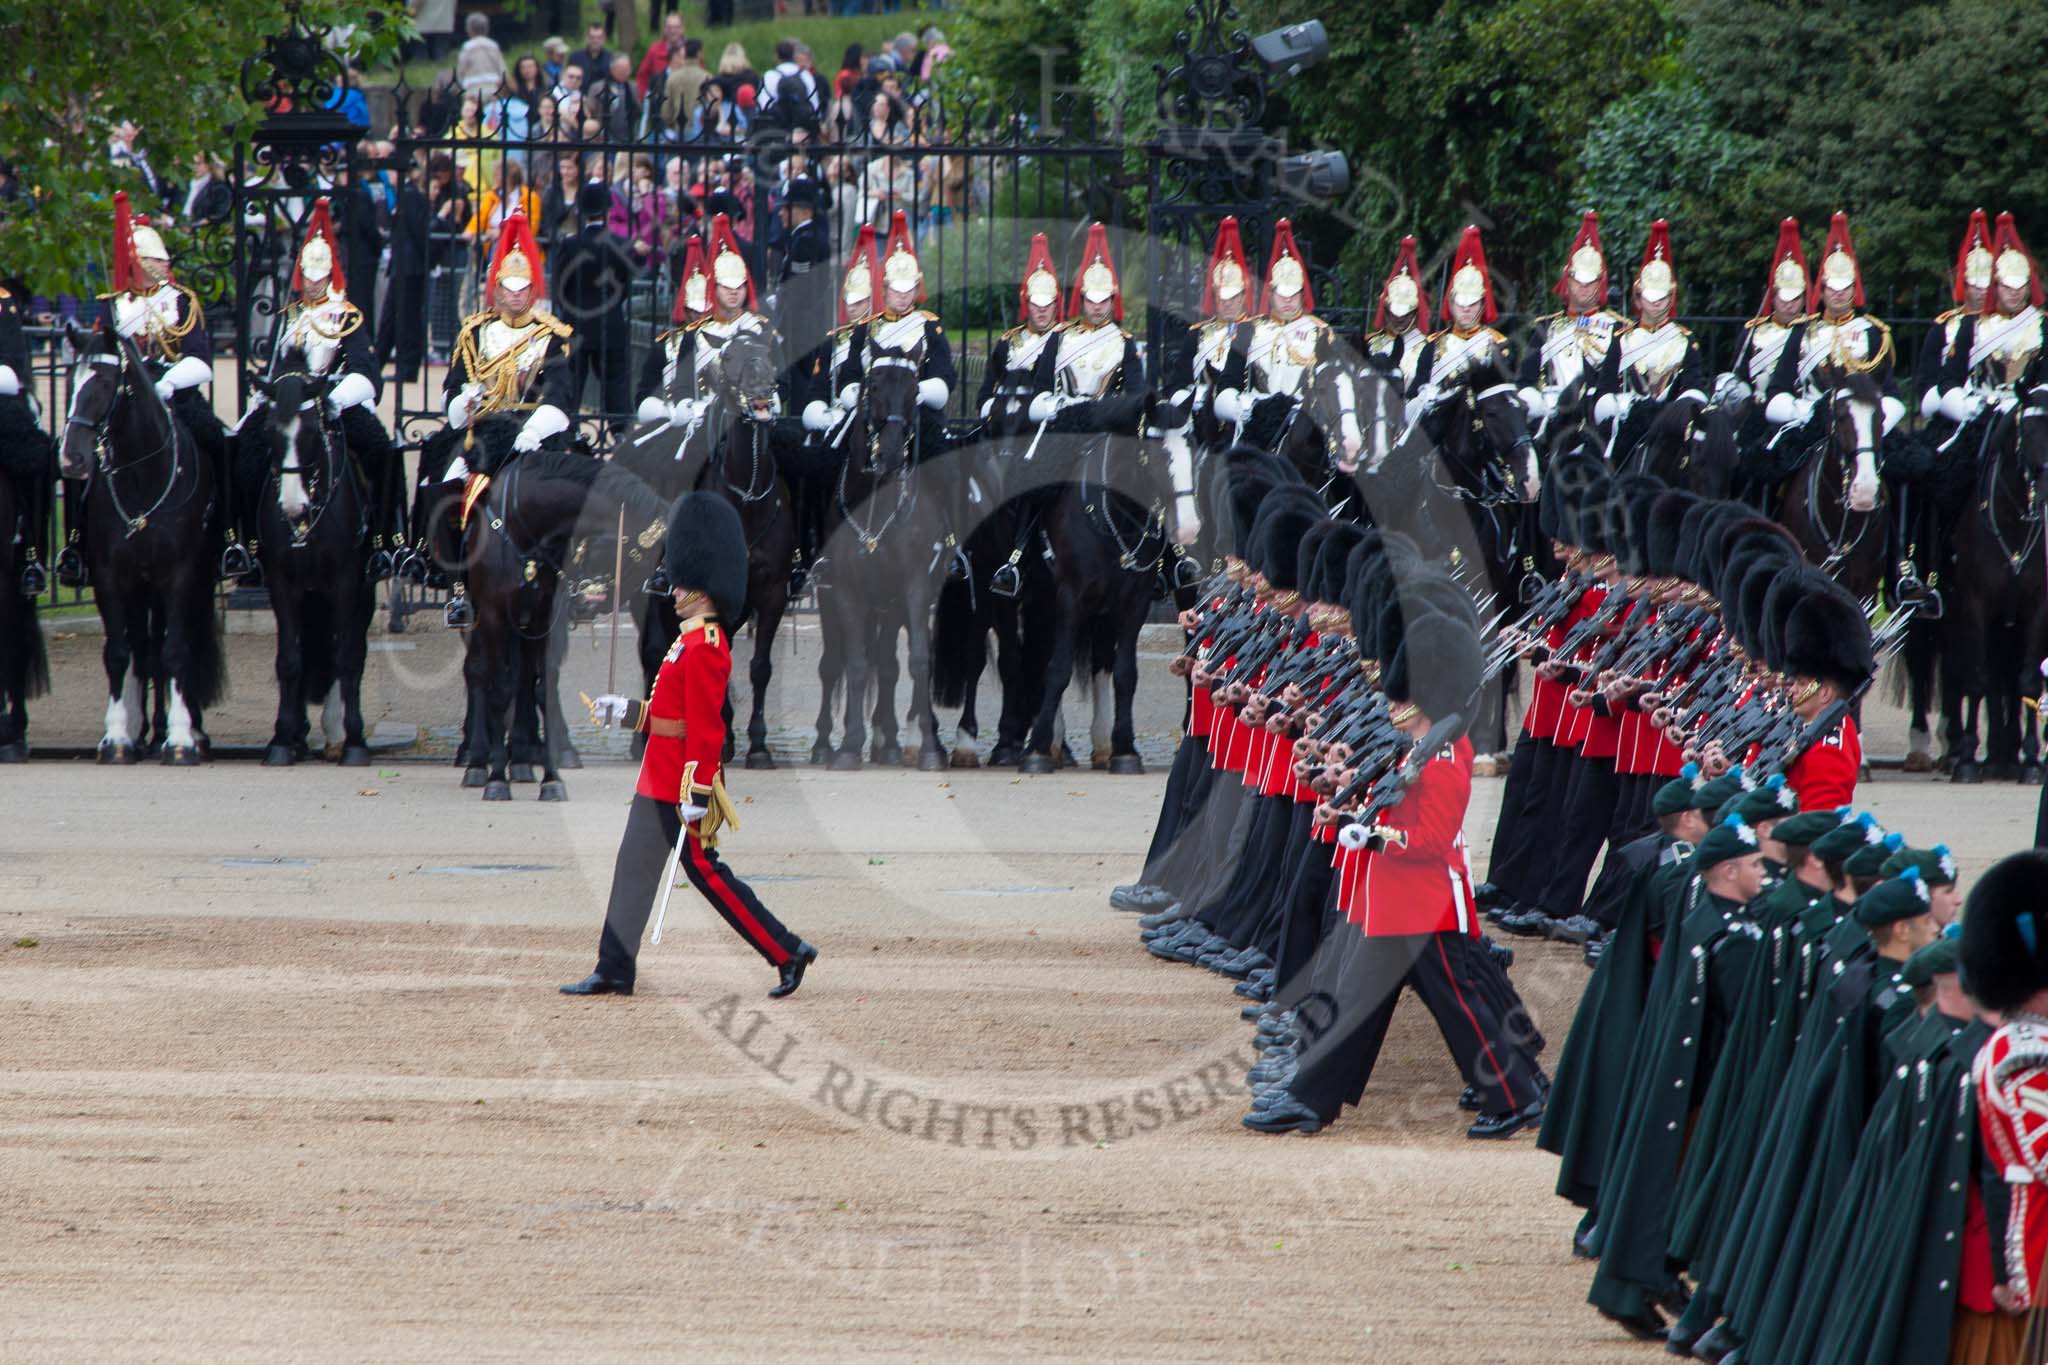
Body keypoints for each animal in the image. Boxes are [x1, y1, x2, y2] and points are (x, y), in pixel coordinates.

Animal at [59, 325, 224, 765]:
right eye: (70, 381)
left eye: (103, 382)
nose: (72, 459)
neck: (143, 479)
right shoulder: (111, 578)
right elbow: (119, 653)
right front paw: (117, 737)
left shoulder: (179, 575)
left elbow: (176, 651)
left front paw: (181, 740)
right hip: (140, 587)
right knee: (142, 649)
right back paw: (143, 730)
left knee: (167, 648)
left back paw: (186, 730)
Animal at [244, 368, 380, 765]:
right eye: (269, 431)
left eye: (308, 432)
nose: (293, 508)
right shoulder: (281, 583)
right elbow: (290, 659)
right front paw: (281, 740)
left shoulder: (347, 582)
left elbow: (346, 657)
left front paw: (355, 742)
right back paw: (302, 735)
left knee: (348, 649)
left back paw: (336, 733)